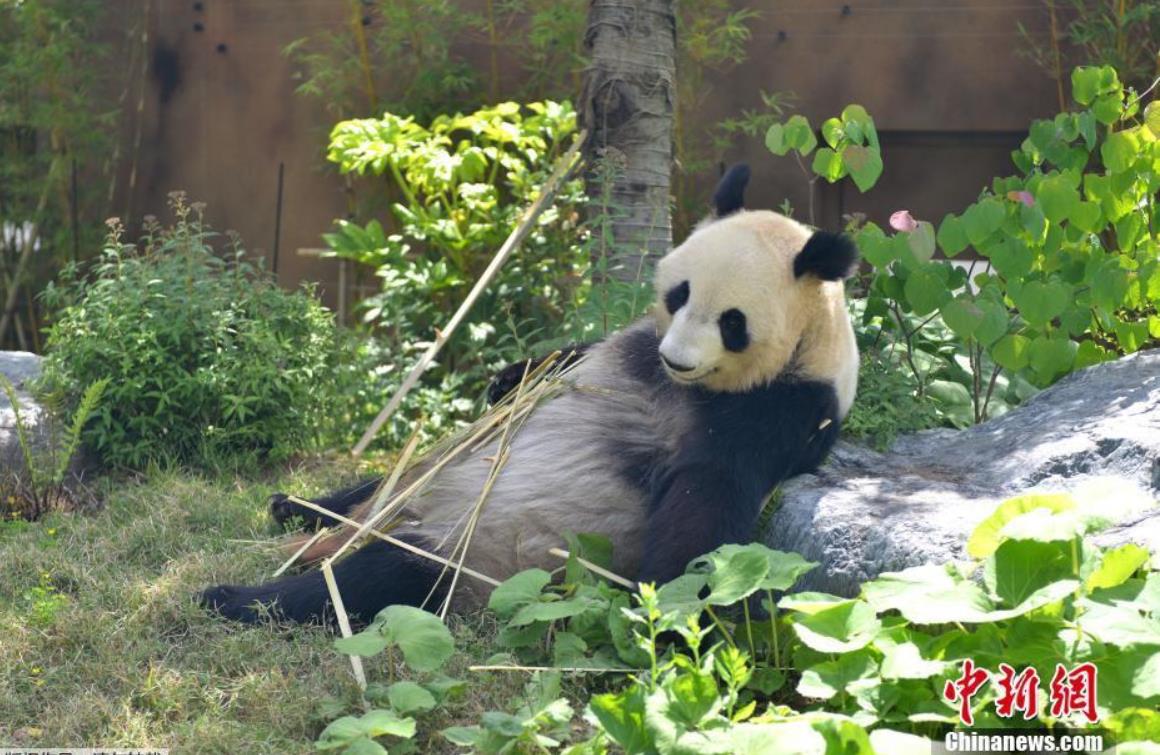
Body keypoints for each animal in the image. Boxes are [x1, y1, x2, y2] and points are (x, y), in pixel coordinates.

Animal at [199, 167, 858, 626]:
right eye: (679, 294)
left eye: (732, 322)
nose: (675, 359)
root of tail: (393, 521)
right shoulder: (628, 345)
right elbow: (562, 360)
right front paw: (502, 380)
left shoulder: (778, 408)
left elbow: (707, 498)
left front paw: (674, 610)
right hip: (430, 480)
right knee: (383, 483)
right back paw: (295, 507)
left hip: (482, 552)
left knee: (383, 579)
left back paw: (235, 597)